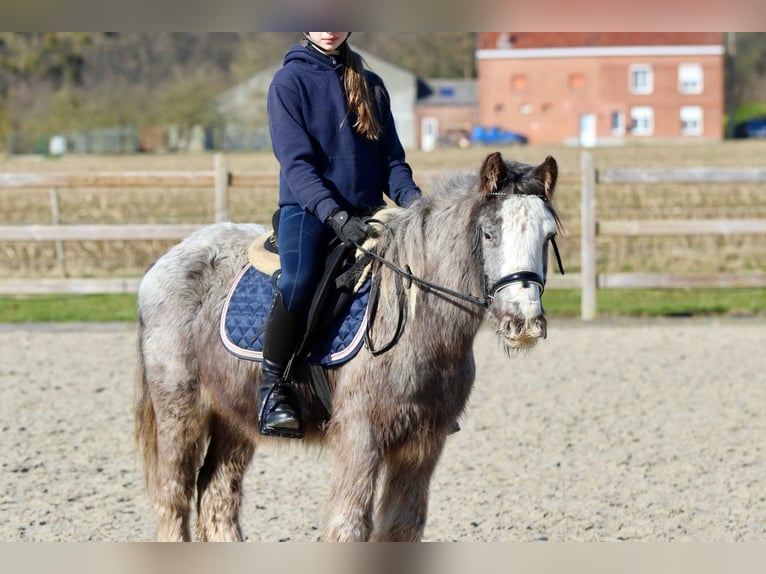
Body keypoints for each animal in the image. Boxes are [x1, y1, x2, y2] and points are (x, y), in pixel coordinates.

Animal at [134, 151, 564, 544]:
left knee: (217, 494)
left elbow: (403, 528)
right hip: (180, 411)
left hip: (234, 418)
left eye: (547, 236)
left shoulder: (424, 443)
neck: (417, 319)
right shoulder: (361, 434)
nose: (524, 322)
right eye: (489, 233)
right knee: (174, 494)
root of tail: (169, 258)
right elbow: (350, 526)